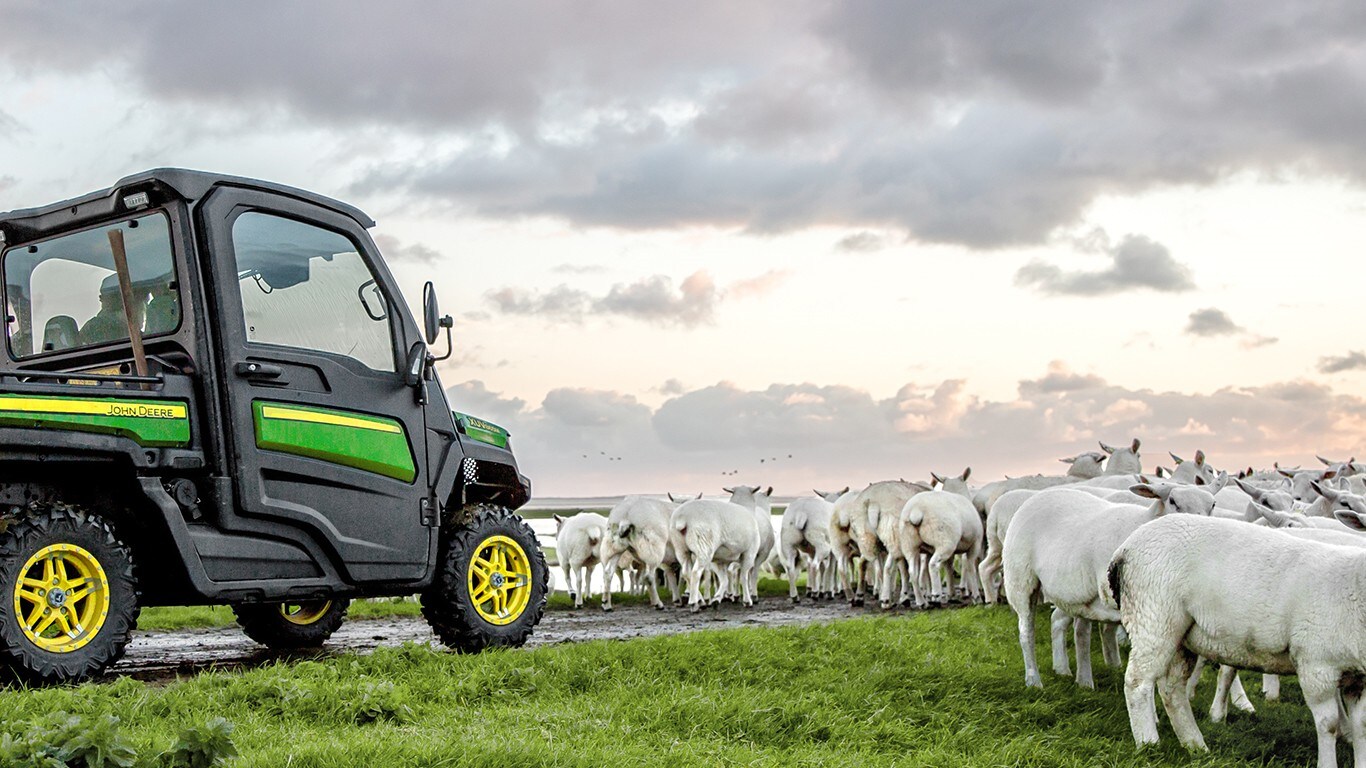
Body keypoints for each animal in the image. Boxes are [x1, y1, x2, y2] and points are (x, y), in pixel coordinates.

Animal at [1109, 508, 1366, 765]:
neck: (1351, 585)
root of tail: (1126, 546)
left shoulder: (1359, 678)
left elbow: (1361, 726)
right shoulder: (1316, 667)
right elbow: (1328, 724)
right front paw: (1328, 762)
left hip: (1181, 635)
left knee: (1172, 689)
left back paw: (1195, 746)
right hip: (1154, 615)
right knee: (1138, 682)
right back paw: (1149, 744)